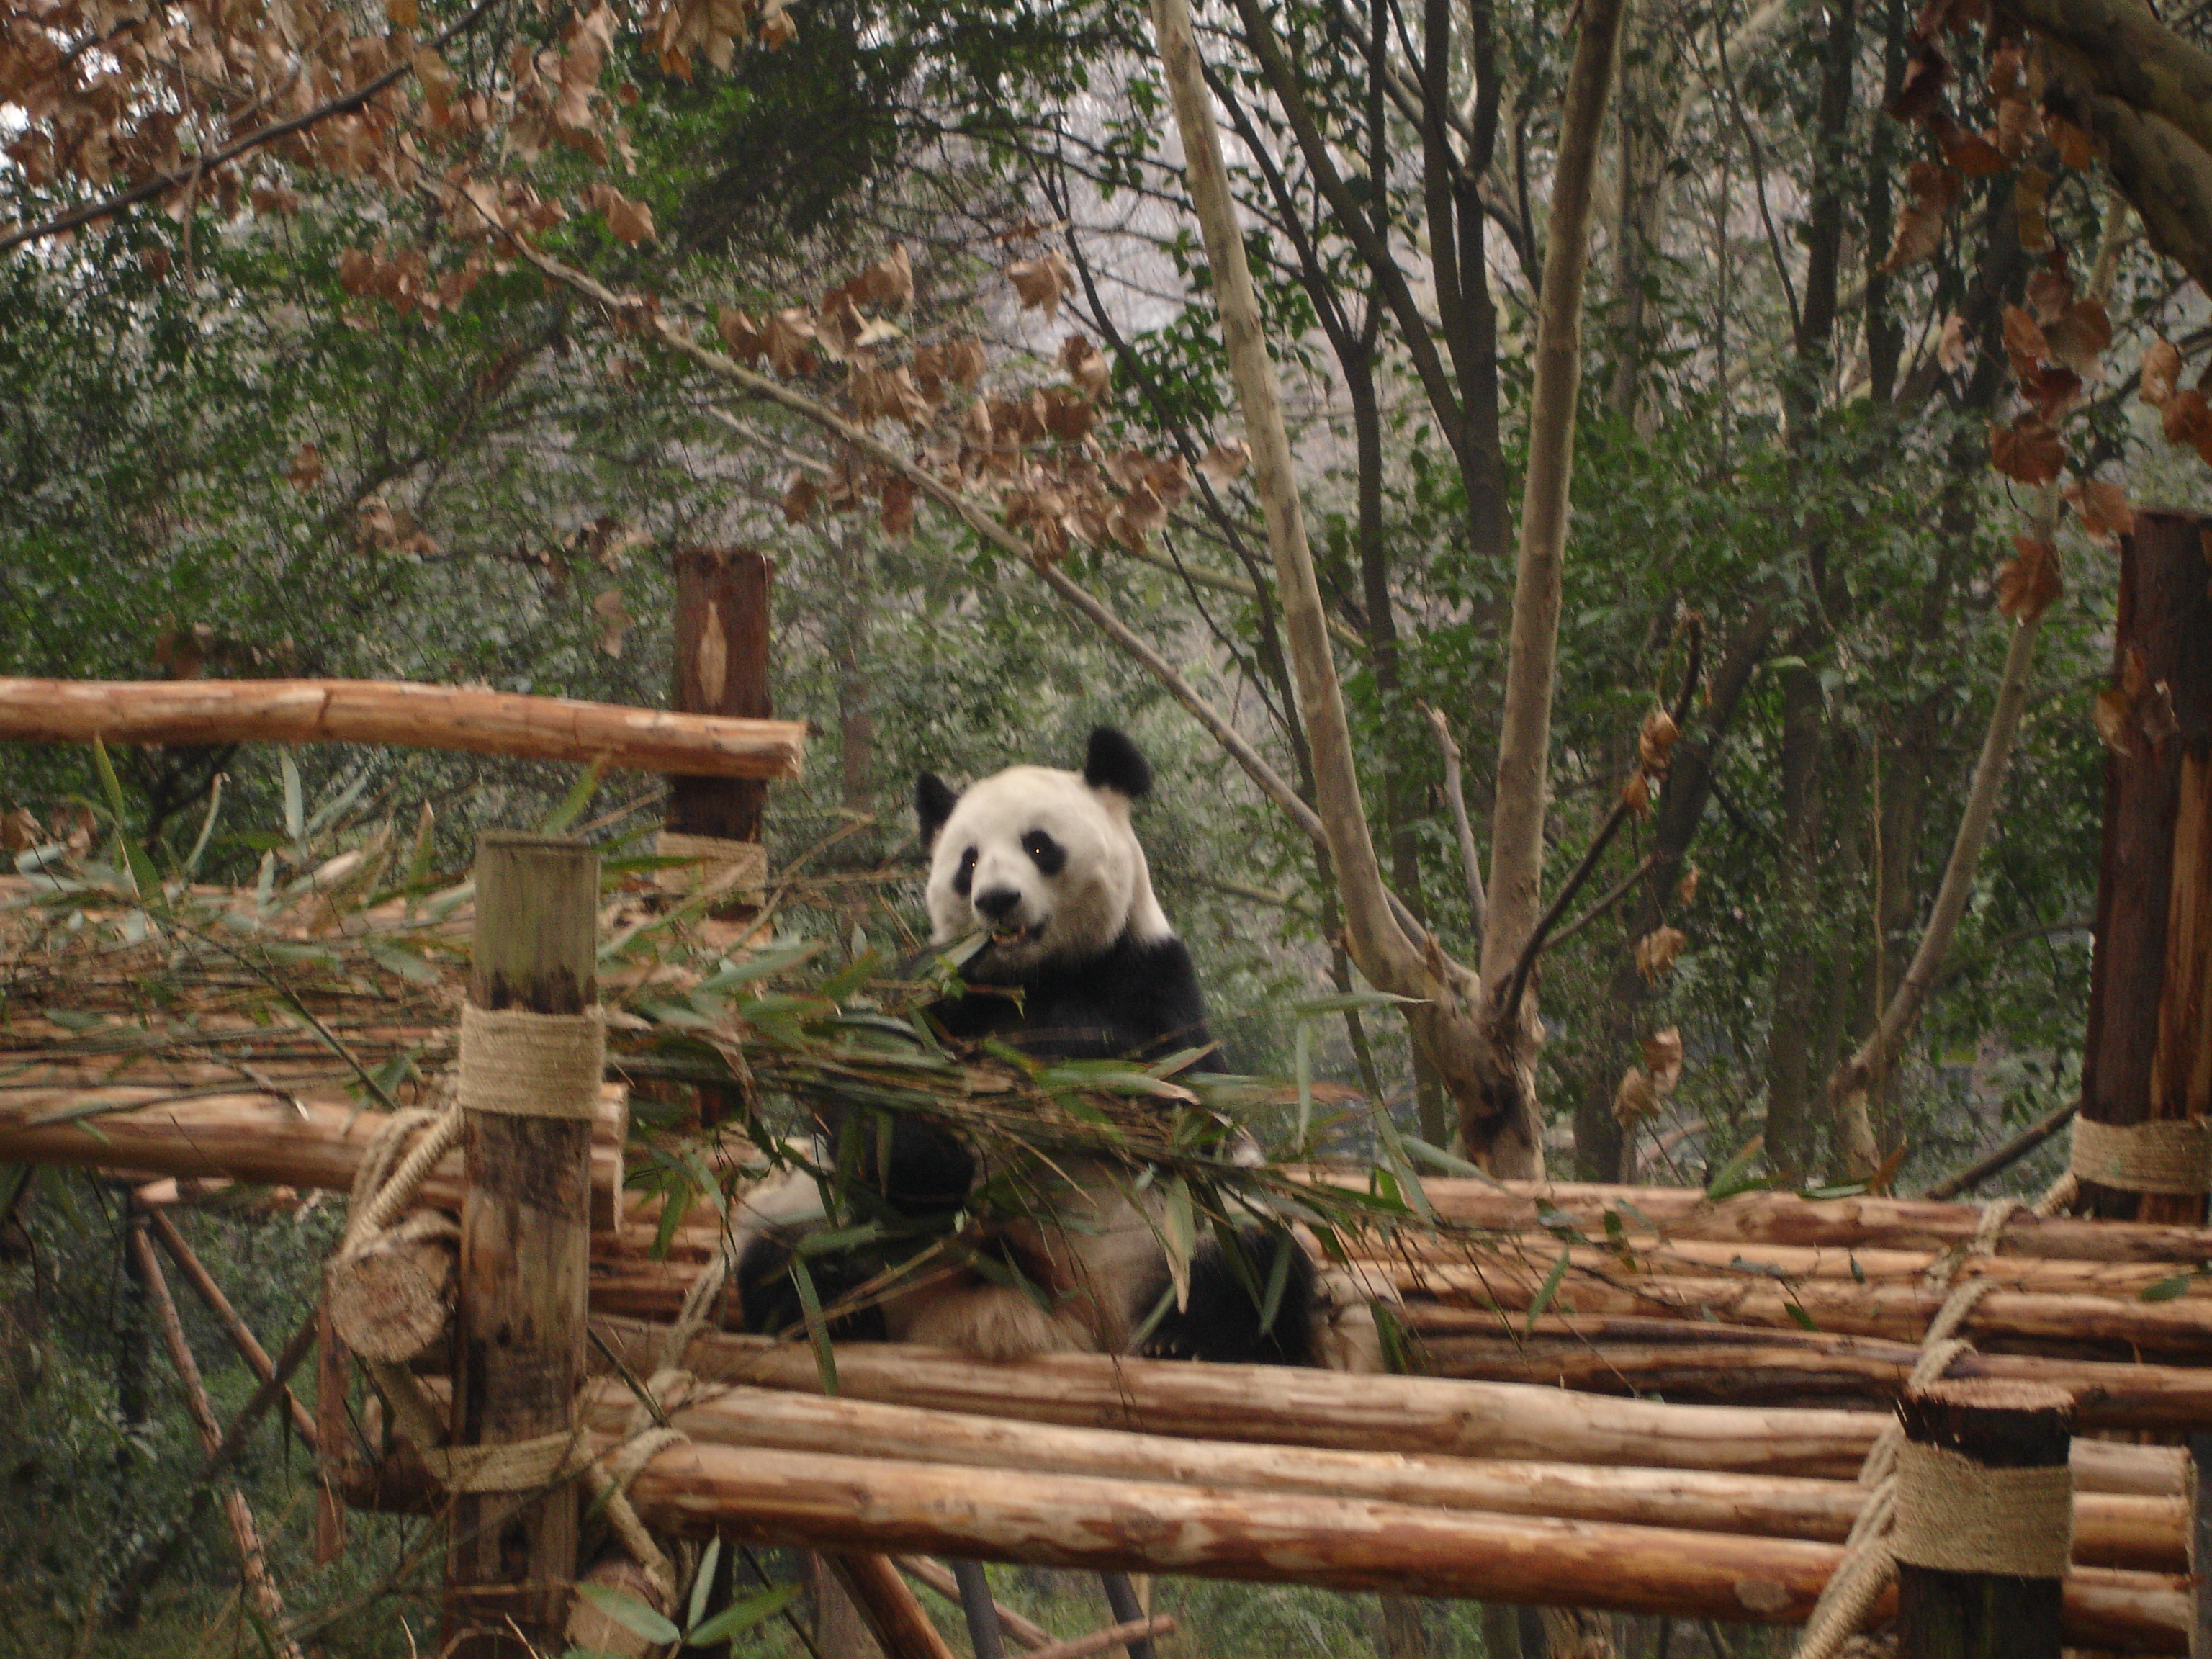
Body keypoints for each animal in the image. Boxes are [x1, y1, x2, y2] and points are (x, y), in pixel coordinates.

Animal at [734, 729, 1371, 1380]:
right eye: (967, 860)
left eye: (1039, 845)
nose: (997, 900)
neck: (1030, 977)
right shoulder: (937, 988)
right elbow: (862, 1089)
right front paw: (932, 1157)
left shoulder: (1153, 979)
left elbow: (1152, 1078)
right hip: (843, 1222)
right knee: (785, 1245)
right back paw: (828, 1309)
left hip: (1189, 1225)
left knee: (1255, 1259)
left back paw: (1192, 1340)